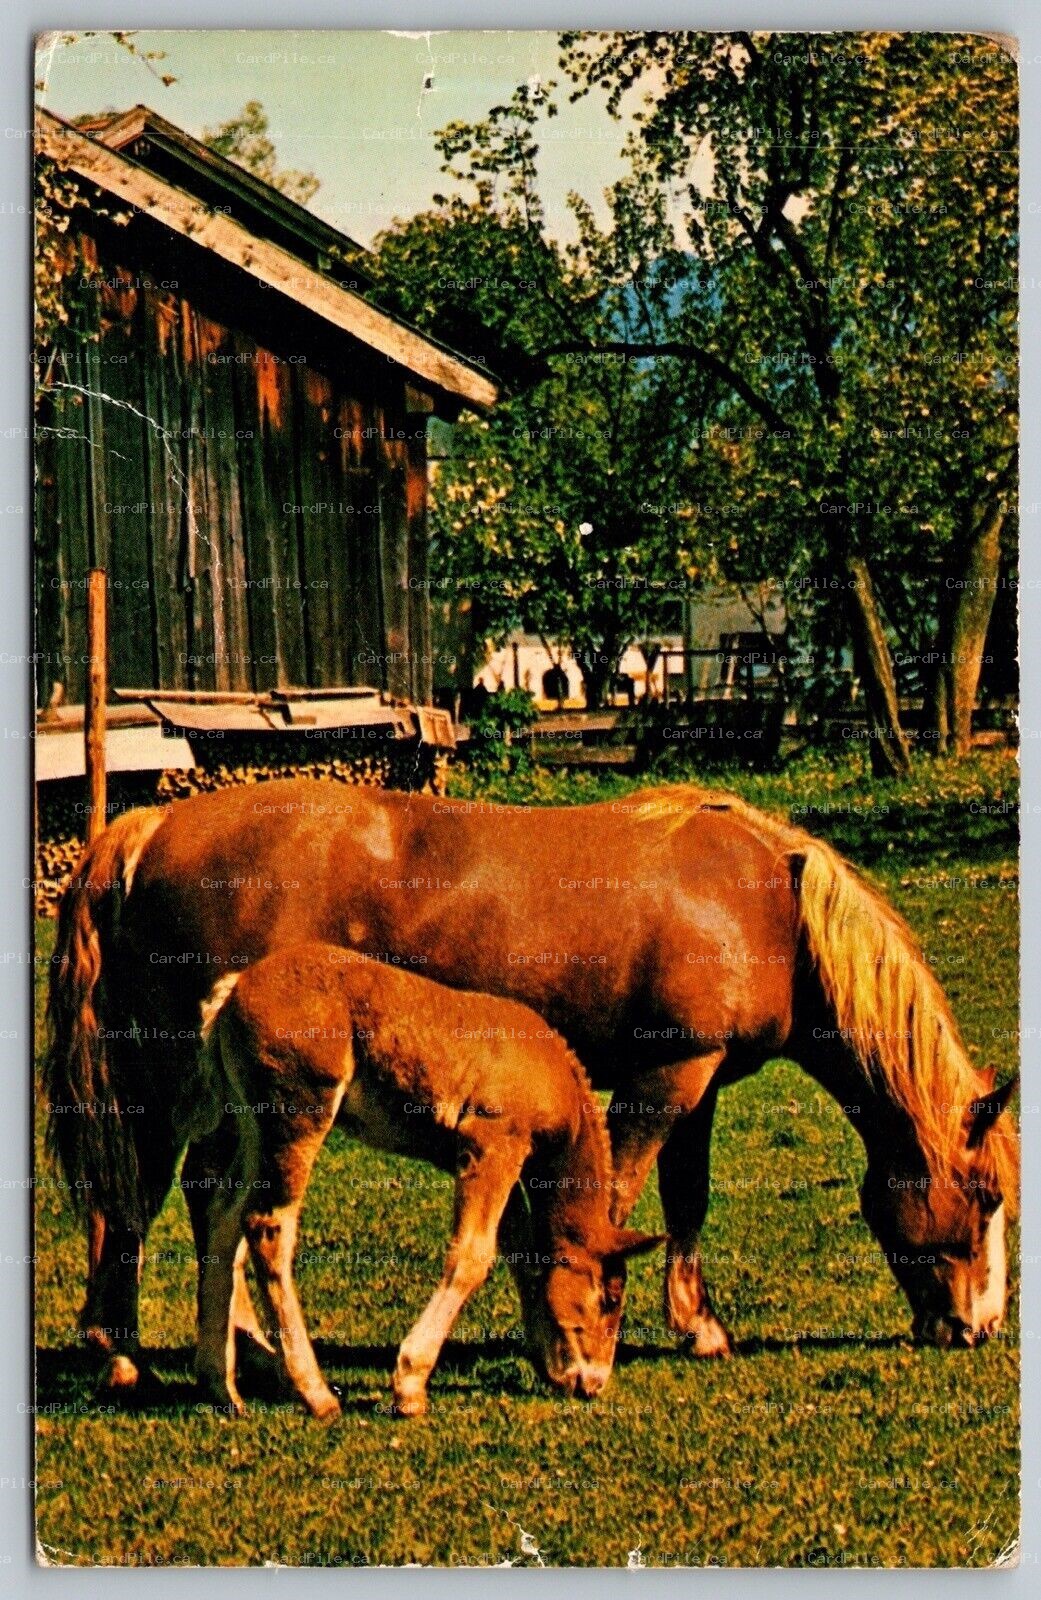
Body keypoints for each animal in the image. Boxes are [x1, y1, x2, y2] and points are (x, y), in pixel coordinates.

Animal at [194, 942, 659, 1418]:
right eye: (609, 1298)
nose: (594, 1383)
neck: (550, 1072)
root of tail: (234, 989)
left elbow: (521, 1252)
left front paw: (548, 1364)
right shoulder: (492, 1144)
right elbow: (473, 1256)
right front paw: (410, 1385)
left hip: (255, 1131)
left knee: (224, 1215)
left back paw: (221, 1386)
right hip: (299, 1116)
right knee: (267, 1226)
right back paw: (314, 1392)